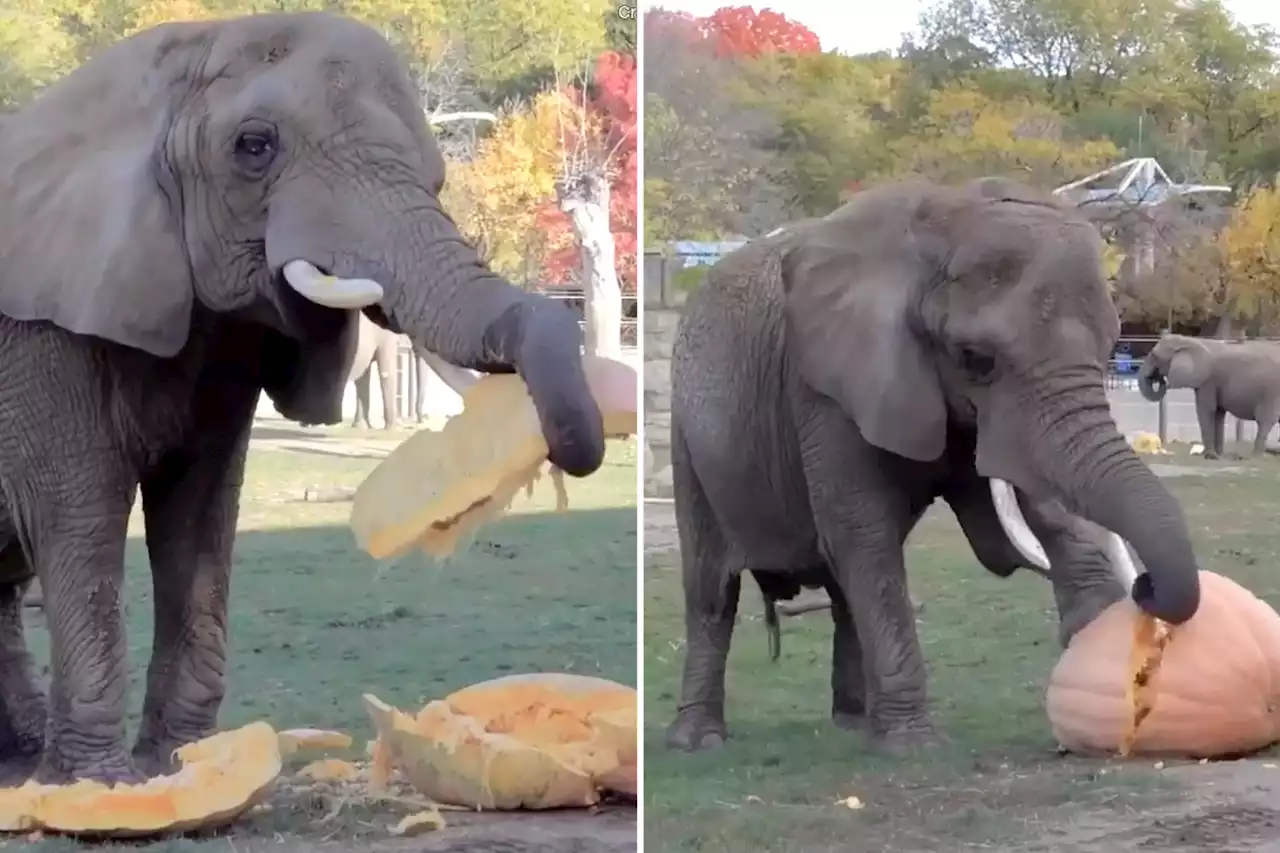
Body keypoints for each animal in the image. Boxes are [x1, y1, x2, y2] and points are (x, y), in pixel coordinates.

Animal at [665, 178, 1203, 753]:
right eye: (975, 358)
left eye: (1110, 346)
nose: (1145, 589)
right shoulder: (824, 388)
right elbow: (863, 535)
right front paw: (914, 746)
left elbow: (1024, 521)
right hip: (687, 437)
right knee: (712, 591)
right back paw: (699, 741)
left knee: (842, 589)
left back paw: (855, 724)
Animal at [1136, 330, 1280, 455]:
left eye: (1154, 356)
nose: (1161, 380)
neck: (1191, 341)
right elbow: (1218, 413)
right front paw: (1218, 455)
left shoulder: (1208, 380)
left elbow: (1206, 410)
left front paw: (1209, 454)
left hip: (1271, 392)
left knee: (1264, 420)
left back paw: (1255, 456)